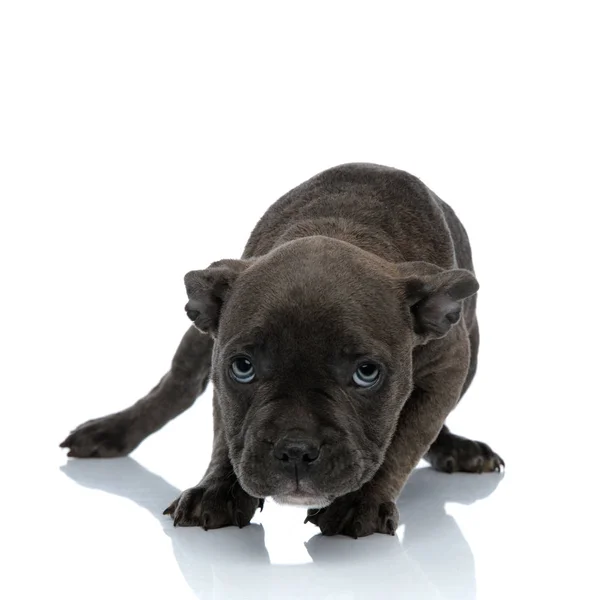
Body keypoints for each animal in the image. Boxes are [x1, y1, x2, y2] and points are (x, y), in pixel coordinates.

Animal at [59, 164, 502, 540]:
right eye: (243, 368)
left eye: (366, 373)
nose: (296, 450)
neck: (344, 229)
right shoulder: (220, 360)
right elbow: (227, 433)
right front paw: (216, 490)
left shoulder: (447, 369)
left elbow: (406, 438)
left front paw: (360, 502)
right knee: (177, 386)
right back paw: (111, 431)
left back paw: (457, 449)